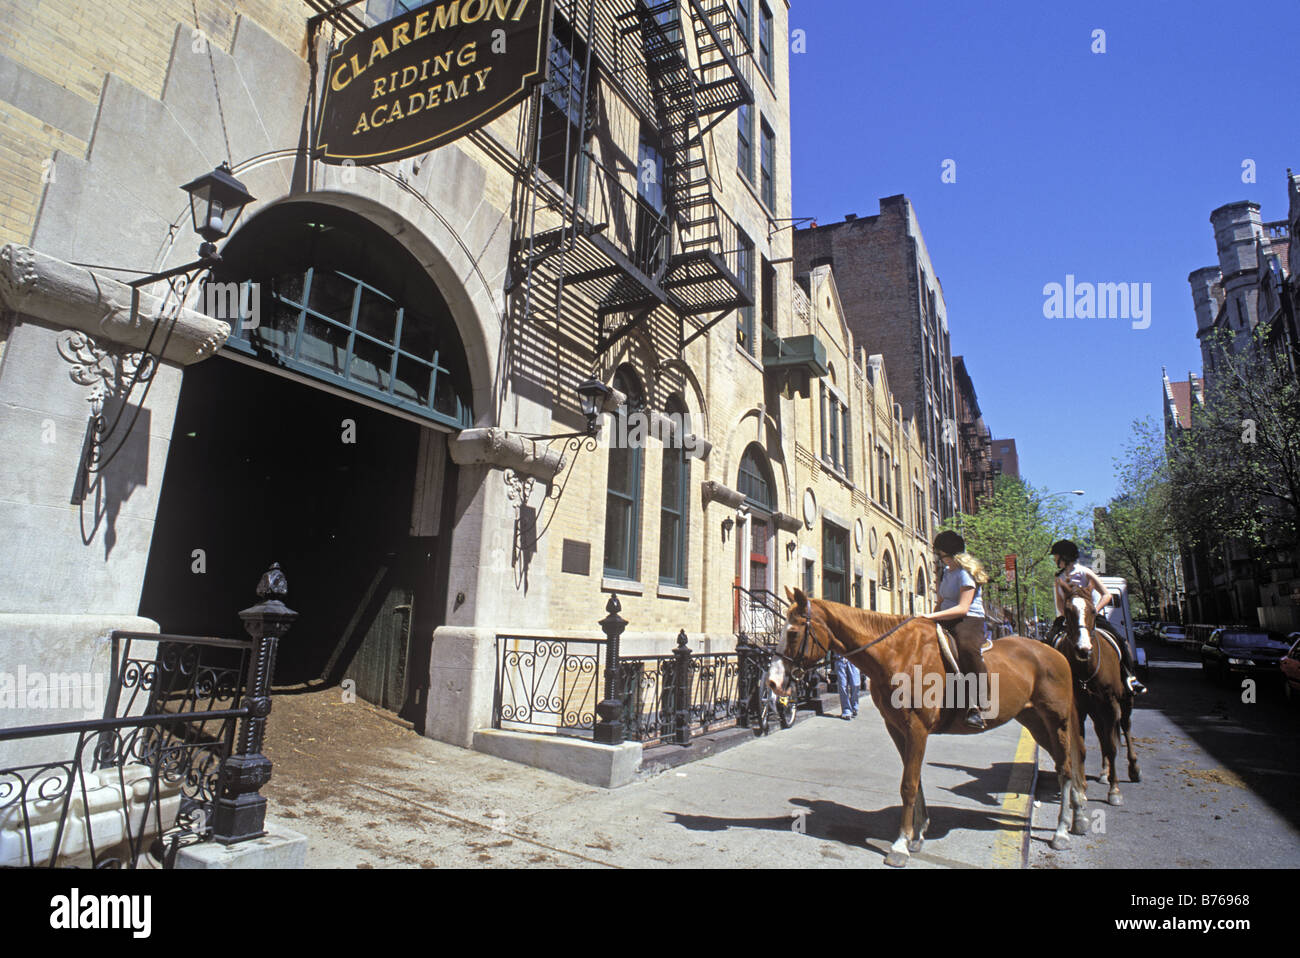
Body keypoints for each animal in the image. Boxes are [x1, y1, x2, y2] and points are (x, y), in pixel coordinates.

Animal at [769, 590, 1086, 868]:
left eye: (793, 632)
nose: (773, 681)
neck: (895, 653)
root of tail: (1055, 652)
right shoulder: (897, 728)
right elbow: (915, 780)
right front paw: (918, 834)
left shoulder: (917, 728)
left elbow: (908, 784)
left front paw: (900, 845)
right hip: (1034, 720)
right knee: (1066, 763)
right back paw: (1079, 817)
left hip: (1056, 719)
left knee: (1066, 767)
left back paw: (1061, 831)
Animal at [1055, 582, 1138, 800]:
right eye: (1067, 611)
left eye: (1092, 610)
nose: (1083, 649)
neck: (1086, 669)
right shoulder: (1078, 707)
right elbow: (1081, 746)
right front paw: (1080, 789)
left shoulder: (1111, 703)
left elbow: (1112, 745)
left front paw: (1115, 790)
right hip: (1095, 708)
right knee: (1101, 733)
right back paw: (1104, 772)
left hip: (1124, 701)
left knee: (1125, 727)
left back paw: (1133, 770)